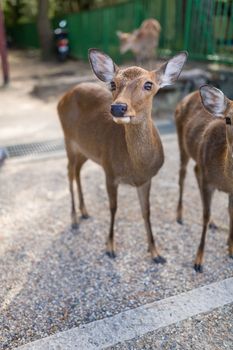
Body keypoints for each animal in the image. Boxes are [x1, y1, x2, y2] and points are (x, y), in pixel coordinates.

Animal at [57, 48, 187, 262]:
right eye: (113, 83)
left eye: (148, 84)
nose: (118, 107)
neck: (136, 166)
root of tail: (63, 97)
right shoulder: (110, 172)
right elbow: (113, 208)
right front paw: (110, 247)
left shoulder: (146, 179)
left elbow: (146, 211)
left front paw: (156, 253)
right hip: (68, 140)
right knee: (68, 173)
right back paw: (74, 219)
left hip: (86, 150)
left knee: (77, 171)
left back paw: (84, 212)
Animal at [176, 85, 233, 274]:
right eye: (228, 119)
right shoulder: (208, 182)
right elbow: (204, 216)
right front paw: (198, 261)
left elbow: (230, 212)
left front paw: (230, 248)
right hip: (182, 143)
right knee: (182, 174)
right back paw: (179, 215)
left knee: (195, 170)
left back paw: (215, 223)